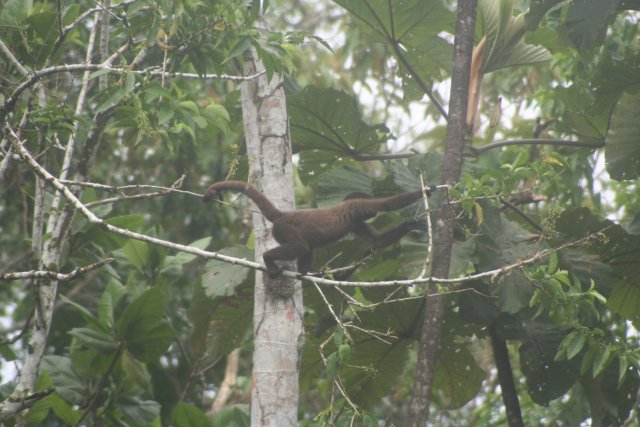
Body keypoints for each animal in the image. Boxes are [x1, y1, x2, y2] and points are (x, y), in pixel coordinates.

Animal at [203, 180, 431, 278]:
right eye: (371, 212)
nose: (373, 215)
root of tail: (282, 215)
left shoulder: (356, 222)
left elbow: (378, 242)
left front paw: (411, 224)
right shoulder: (357, 207)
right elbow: (387, 204)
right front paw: (427, 190)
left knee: (308, 248)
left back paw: (306, 273)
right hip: (284, 229)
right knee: (302, 247)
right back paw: (269, 259)